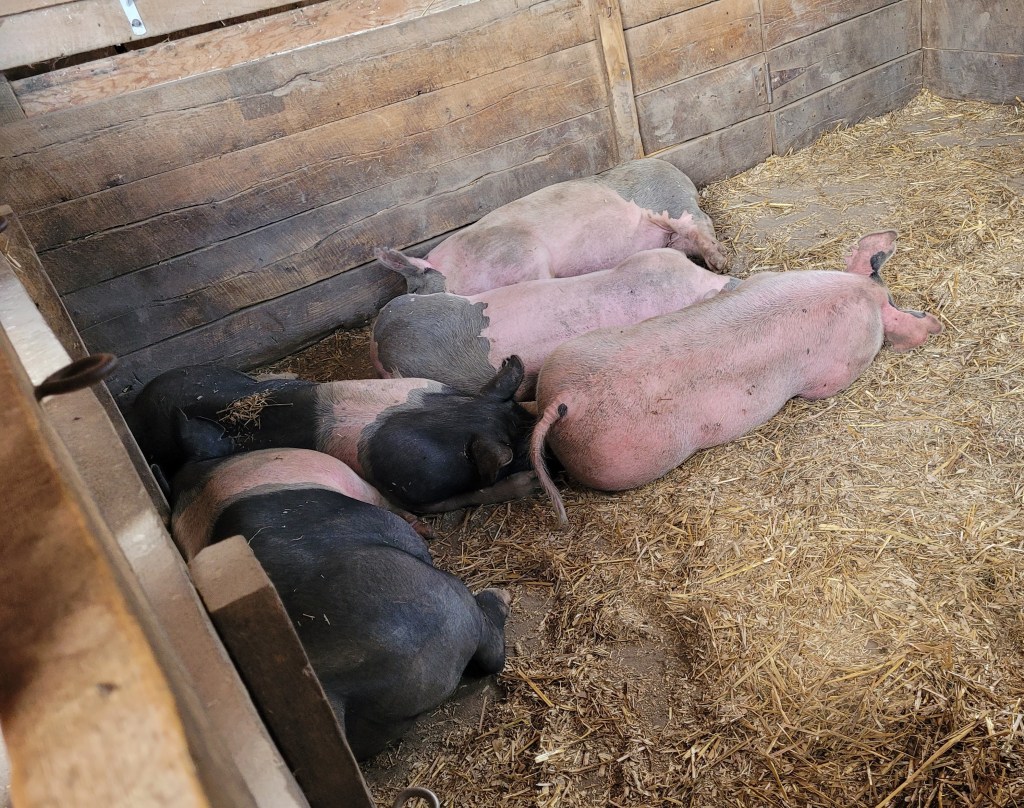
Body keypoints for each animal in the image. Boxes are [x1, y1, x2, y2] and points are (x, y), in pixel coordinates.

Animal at [126, 356, 536, 512]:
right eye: (515, 452)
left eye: (521, 414)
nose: (541, 456)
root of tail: (137, 402)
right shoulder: (410, 493)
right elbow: (467, 496)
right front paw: (529, 483)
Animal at [375, 162, 727, 296]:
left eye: (416, 291)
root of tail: (679, 174)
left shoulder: (521, 255)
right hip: (671, 235)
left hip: (672, 203)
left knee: (702, 222)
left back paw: (720, 262)